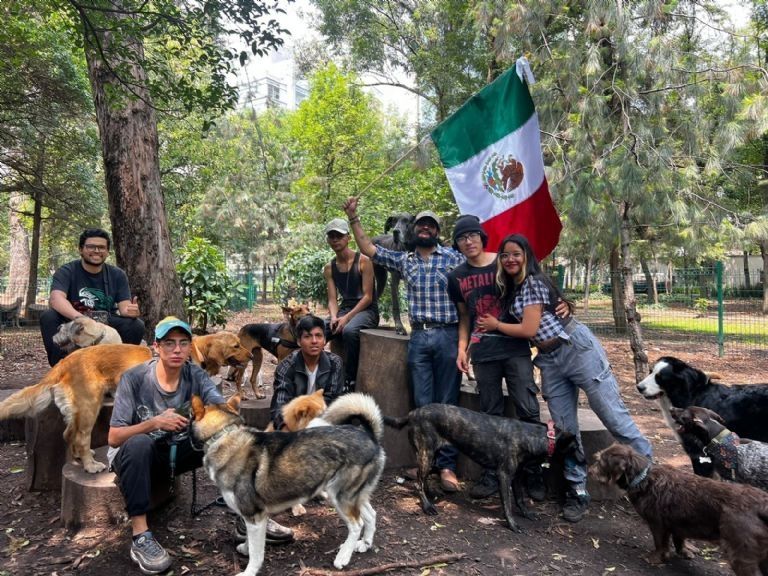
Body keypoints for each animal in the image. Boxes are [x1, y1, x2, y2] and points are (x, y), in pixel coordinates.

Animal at [0, 342, 152, 472]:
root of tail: (65, 361)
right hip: (90, 406)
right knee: (81, 438)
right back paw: (90, 465)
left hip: (78, 411)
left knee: (68, 434)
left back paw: (79, 456)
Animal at [190, 390, 384, 572]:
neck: (223, 434)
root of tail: (369, 435)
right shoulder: (254, 517)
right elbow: (250, 543)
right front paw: (245, 548)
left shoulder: (254, 516)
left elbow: (256, 554)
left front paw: (248, 571)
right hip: (353, 496)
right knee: (371, 515)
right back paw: (365, 544)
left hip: (340, 497)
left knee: (357, 525)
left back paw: (343, 557)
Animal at [384, 404, 576, 532]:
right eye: (576, 449)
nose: (581, 461)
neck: (533, 437)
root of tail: (413, 412)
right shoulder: (504, 475)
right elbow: (507, 504)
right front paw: (512, 524)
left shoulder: (517, 476)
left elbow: (520, 499)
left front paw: (527, 513)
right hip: (426, 454)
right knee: (418, 482)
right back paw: (427, 506)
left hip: (430, 456)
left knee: (423, 478)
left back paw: (430, 495)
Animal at [592, 440, 768, 572]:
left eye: (600, 462)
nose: (590, 470)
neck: (643, 479)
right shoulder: (678, 522)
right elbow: (679, 538)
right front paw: (684, 551)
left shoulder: (657, 524)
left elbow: (660, 544)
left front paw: (655, 558)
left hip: (742, 555)